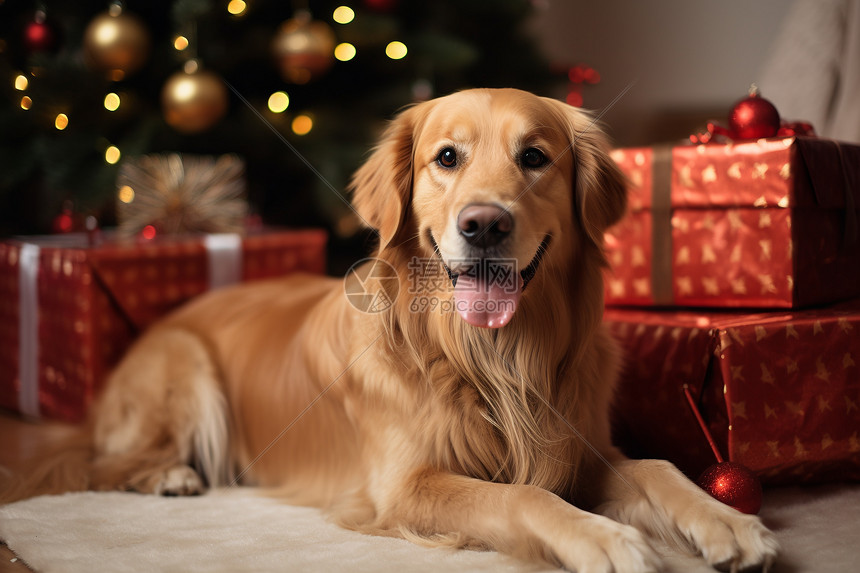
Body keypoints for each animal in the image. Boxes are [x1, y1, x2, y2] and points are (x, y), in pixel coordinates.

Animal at [1, 87, 780, 568]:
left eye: (534, 156)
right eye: (447, 157)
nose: (485, 224)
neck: (486, 357)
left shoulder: (578, 445)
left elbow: (660, 468)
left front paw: (730, 522)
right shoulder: (407, 487)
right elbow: (523, 494)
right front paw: (605, 539)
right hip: (184, 367)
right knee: (105, 461)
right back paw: (170, 474)